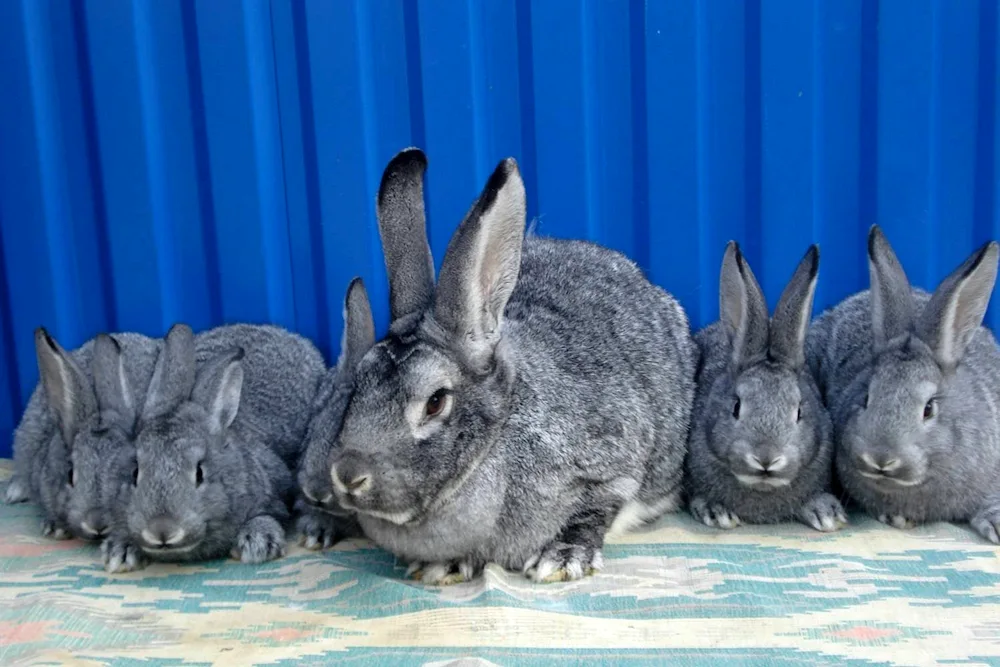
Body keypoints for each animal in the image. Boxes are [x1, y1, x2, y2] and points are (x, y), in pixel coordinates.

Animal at [326, 150, 696, 584]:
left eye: (435, 402)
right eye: (357, 385)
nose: (347, 475)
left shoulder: (613, 469)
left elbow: (593, 512)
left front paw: (561, 560)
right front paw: (440, 568)